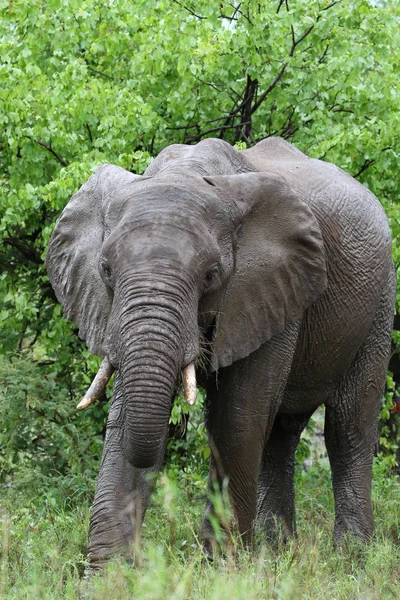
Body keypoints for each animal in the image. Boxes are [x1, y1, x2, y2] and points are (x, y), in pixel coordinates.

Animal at [45, 136, 396, 568]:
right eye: (106, 270)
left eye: (211, 275)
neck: (189, 172)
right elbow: (129, 411)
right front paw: (109, 574)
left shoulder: (272, 288)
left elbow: (236, 417)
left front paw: (221, 567)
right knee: (282, 432)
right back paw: (276, 551)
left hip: (380, 300)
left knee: (348, 425)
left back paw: (351, 557)